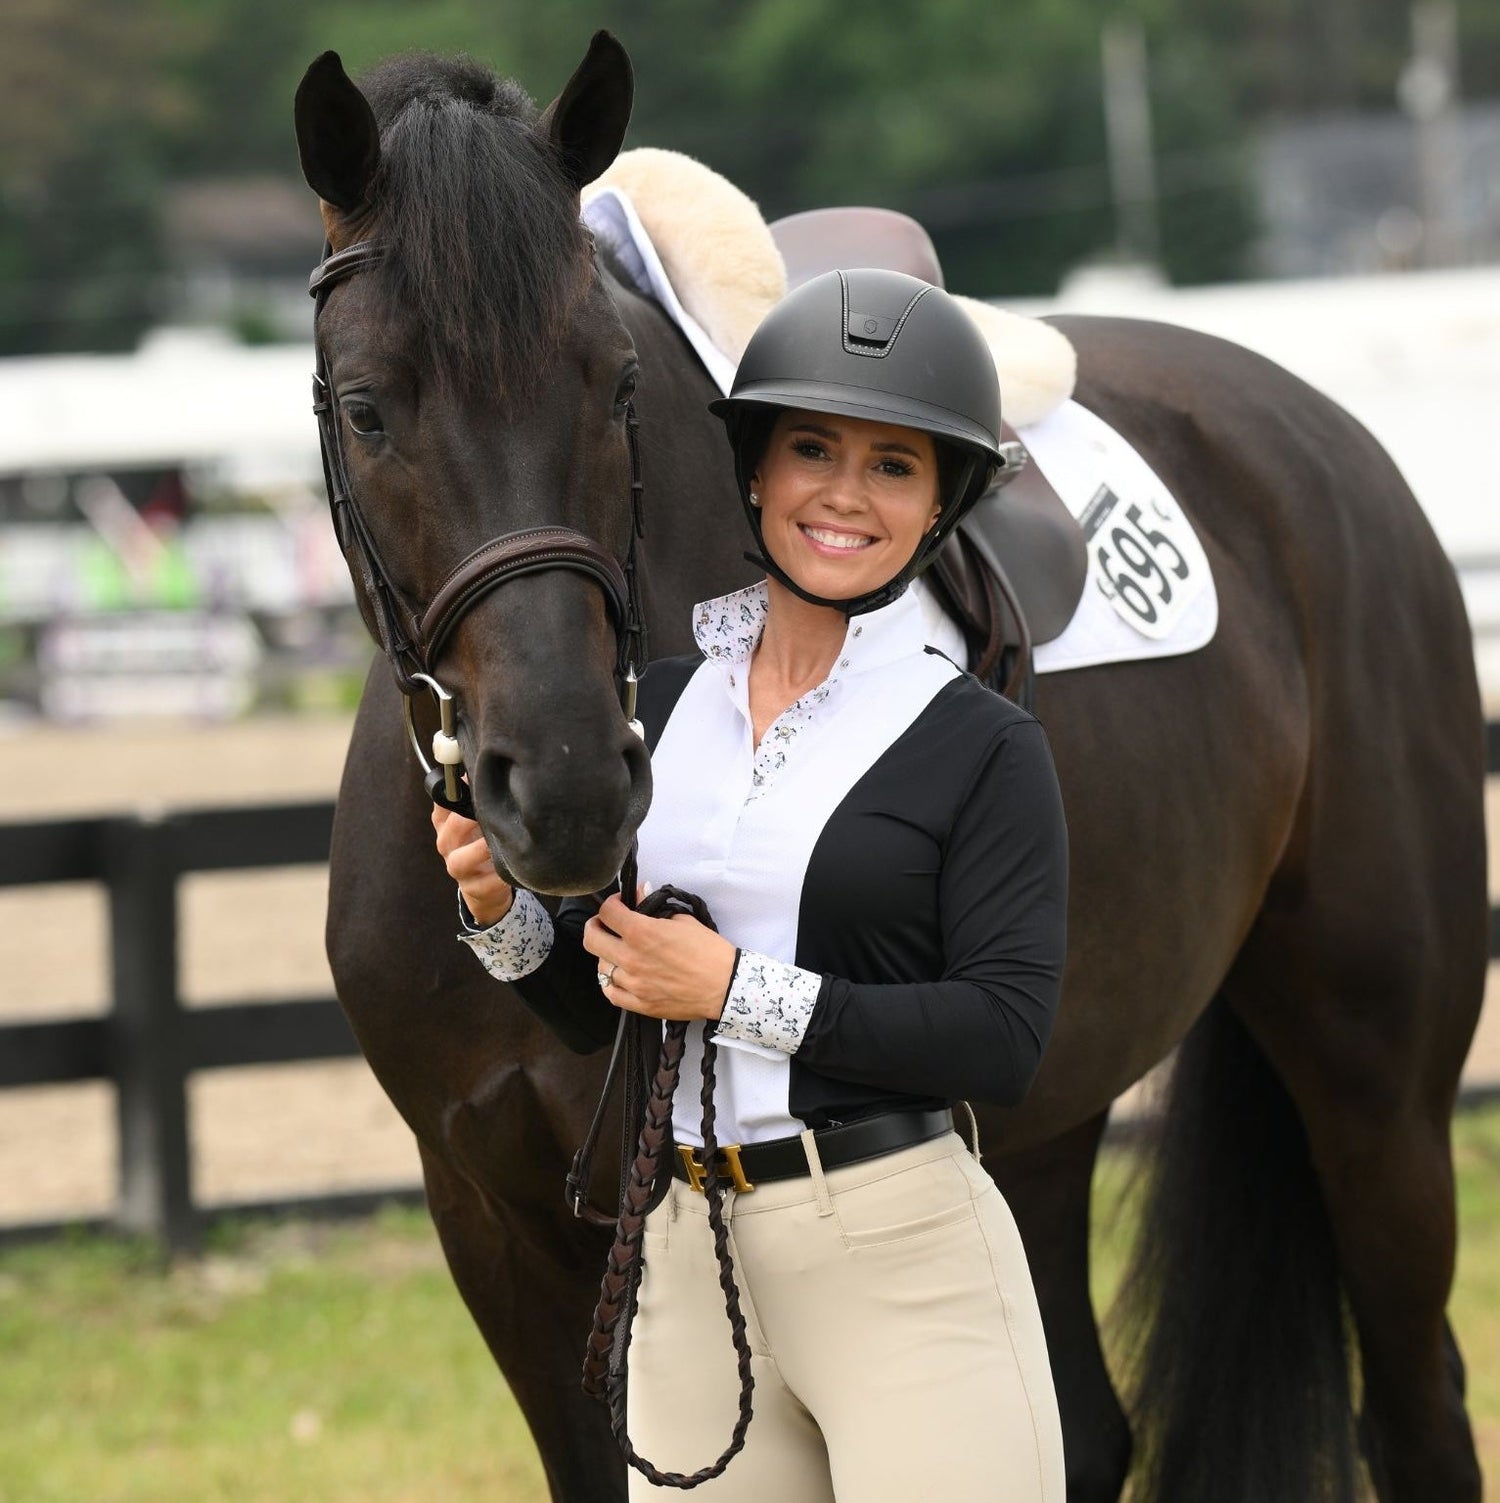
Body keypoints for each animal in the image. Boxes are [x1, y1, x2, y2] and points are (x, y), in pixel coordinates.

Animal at [293, 32, 1487, 1503]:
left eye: (614, 385)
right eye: (366, 408)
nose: (565, 786)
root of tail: (1325, 441)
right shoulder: (491, 1221)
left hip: (1379, 1083)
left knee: (1417, 1403)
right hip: (1042, 1104)